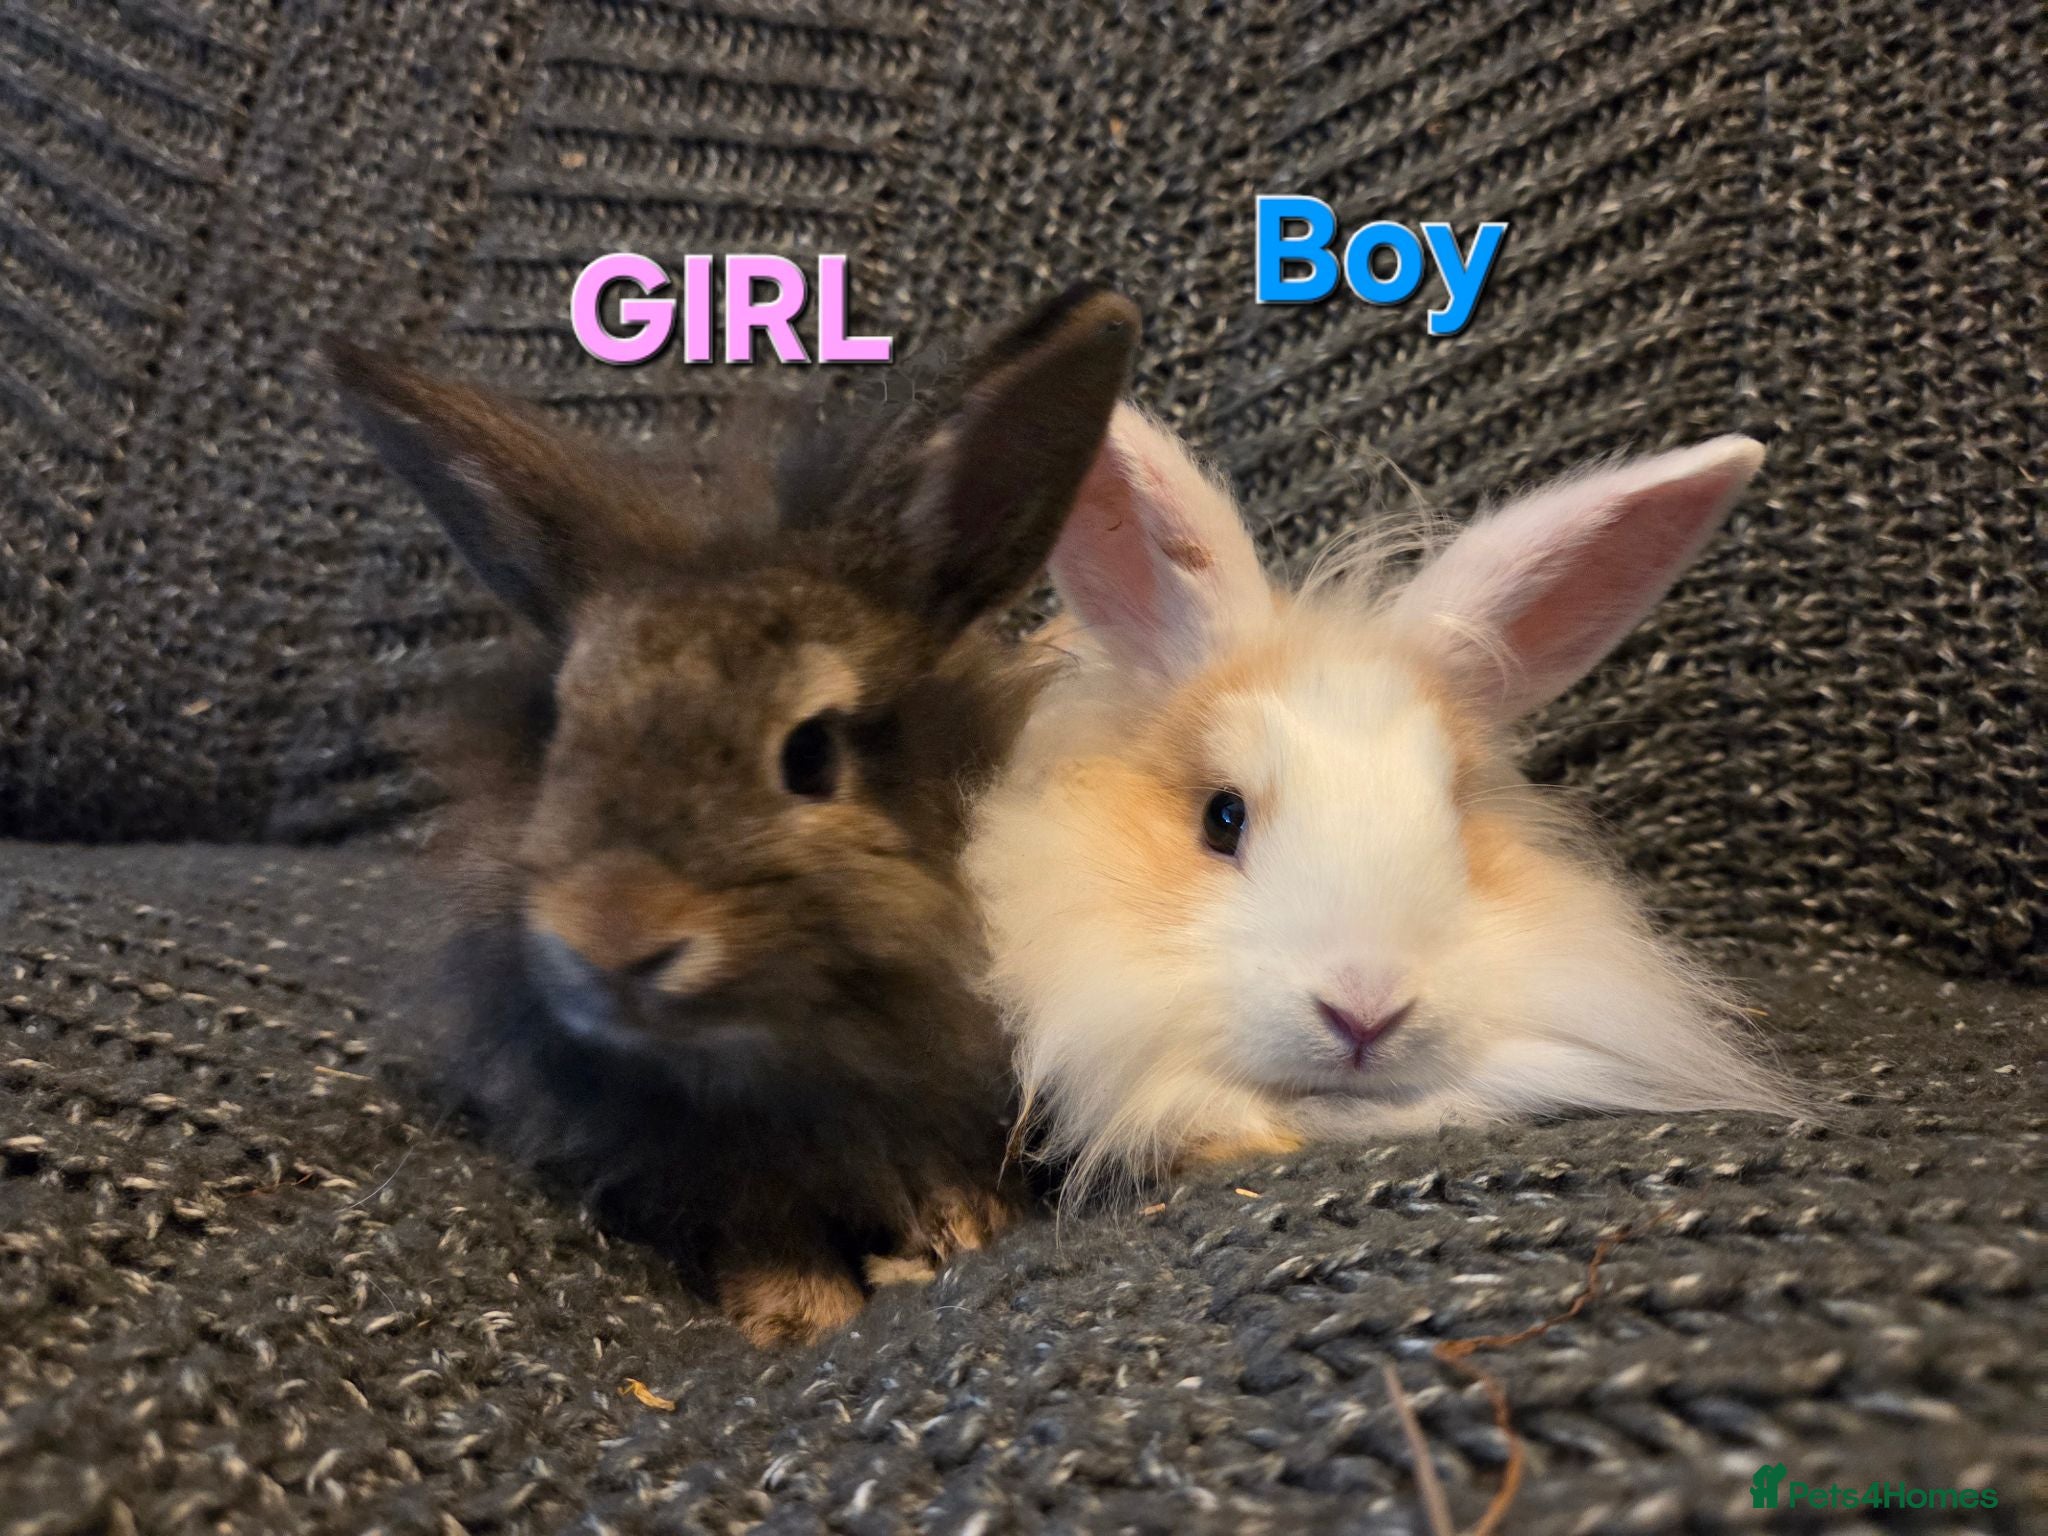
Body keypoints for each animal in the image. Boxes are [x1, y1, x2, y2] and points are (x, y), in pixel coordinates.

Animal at [329, 285, 1140, 1345]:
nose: (615, 935)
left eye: (811, 755)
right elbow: (763, 1222)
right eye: (561, 728)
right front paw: (797, 1316)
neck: (770, 1053)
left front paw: (966, 1234)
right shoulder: (723, 1164)